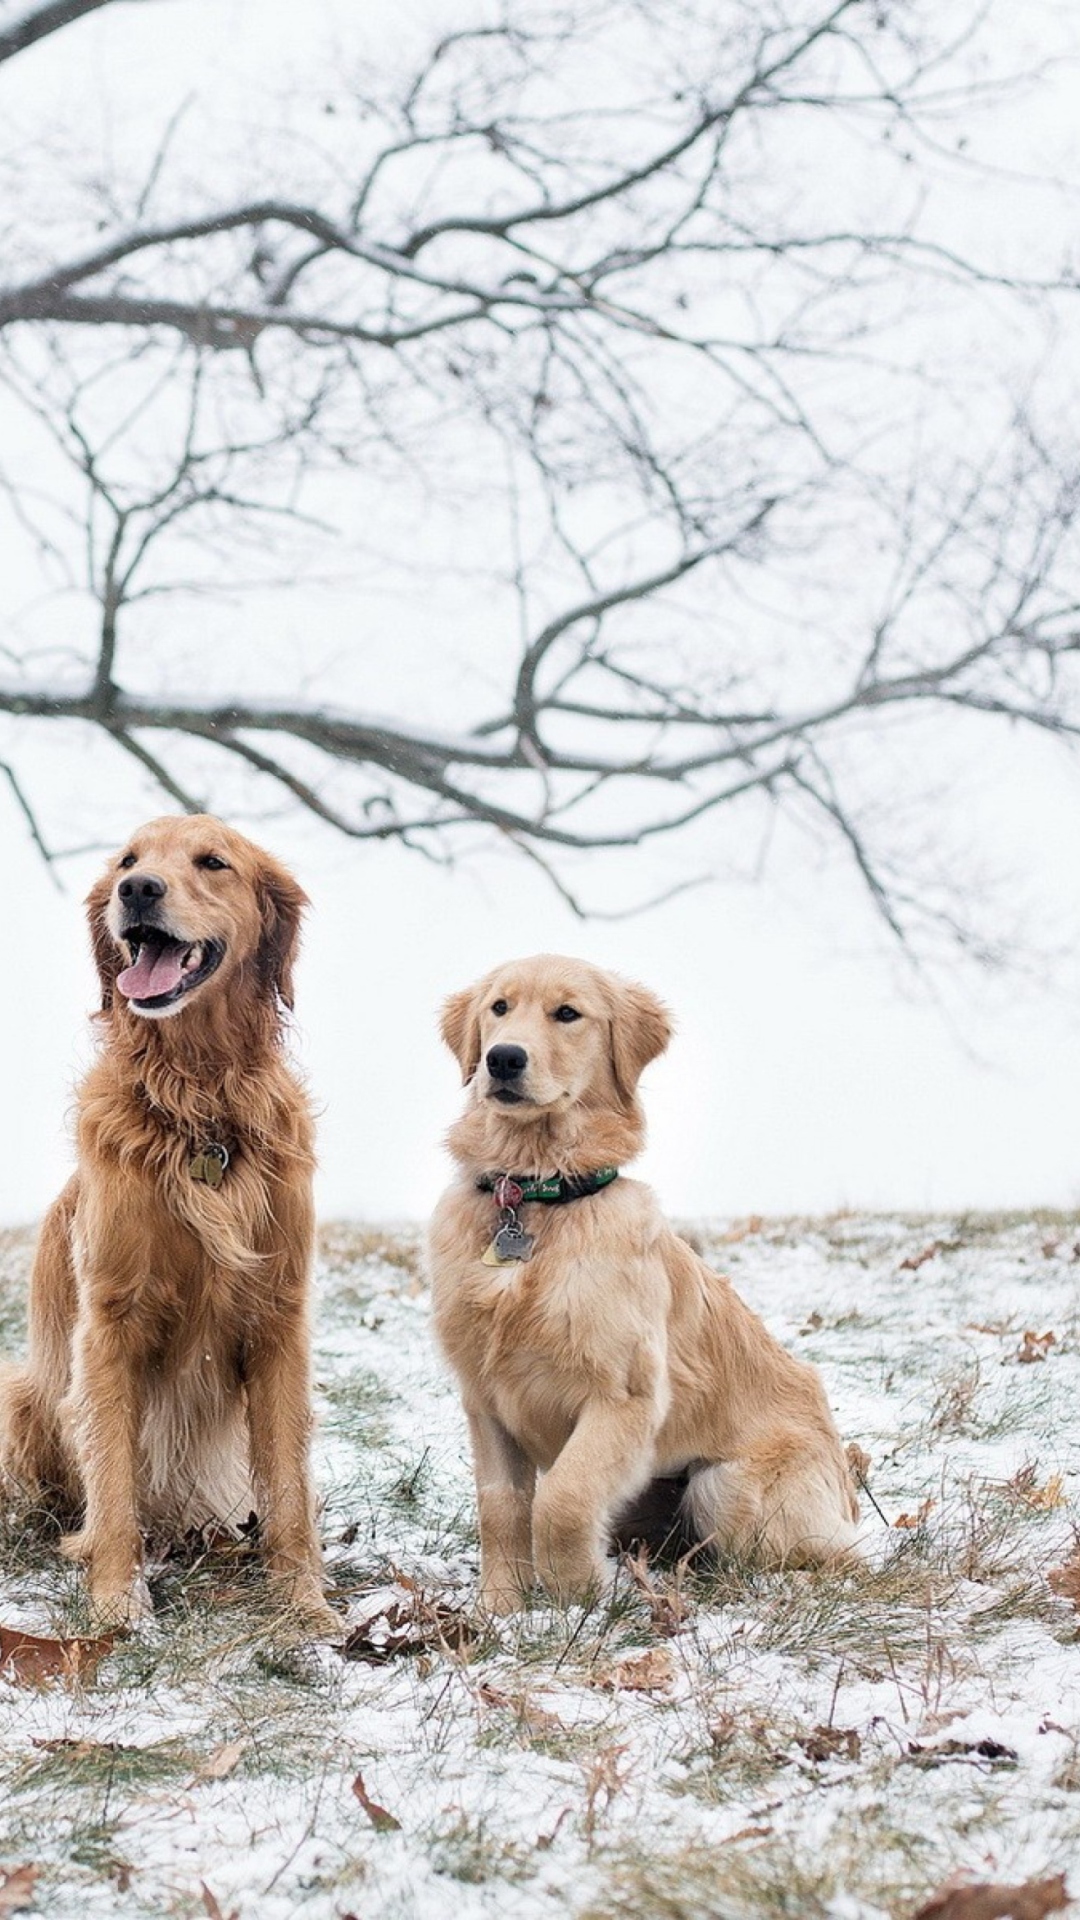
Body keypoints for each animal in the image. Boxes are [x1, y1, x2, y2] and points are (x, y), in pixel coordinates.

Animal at [0, 814, 336, 1635]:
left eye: (212, 862)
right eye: (127, 860)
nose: (137, 890)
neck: (199, 1105)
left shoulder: (279, 1317)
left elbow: (288, 1487)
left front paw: (304, 1606)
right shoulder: (109, 1324)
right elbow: (114, 1483)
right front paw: (119, 1602)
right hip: (22, 1394)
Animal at [428, 956, 857, 1605]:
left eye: (568, 1013)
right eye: (499, 1008)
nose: (502, 1058)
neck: (536, 1196)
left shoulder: (623, 1397)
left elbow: (563, 1500)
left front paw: (577, 1596)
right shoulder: (485, 1398)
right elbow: (501, 1508)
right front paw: (500, 1607)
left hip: (724, 1488)